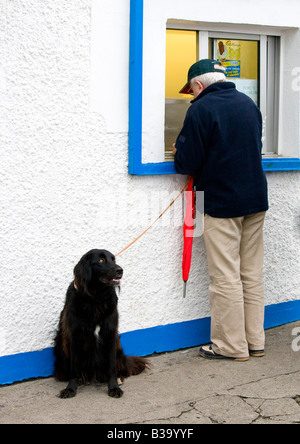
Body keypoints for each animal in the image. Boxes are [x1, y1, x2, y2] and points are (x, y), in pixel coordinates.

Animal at [53, 250, 149, 398]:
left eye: (113, 259)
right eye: (101, 260)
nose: (120, 270)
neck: (95, 298)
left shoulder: (109, 334)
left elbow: (111, 367)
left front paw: (113, 387)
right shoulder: (75, 336)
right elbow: (74, 368)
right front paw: (71, 388)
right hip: (61, 344)